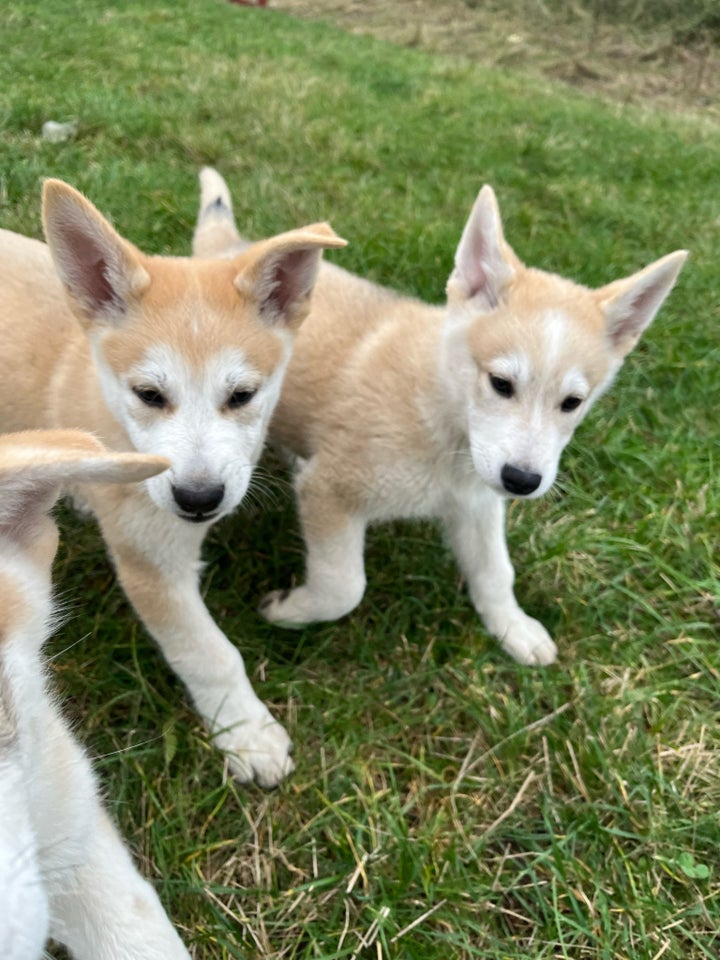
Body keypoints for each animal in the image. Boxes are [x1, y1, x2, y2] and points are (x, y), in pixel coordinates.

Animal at [0, 180, 346, 788]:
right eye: (149, 394)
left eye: (243, 395)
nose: (198, 499)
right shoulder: (152, 564)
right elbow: (208, 653)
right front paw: (246, 734)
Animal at [195, 167, 688, 668]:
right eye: (501, 383)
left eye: (572, 403)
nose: (522, 481)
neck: (439, 416)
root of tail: (228, 249)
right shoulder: (332, 491)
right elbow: (343, 587)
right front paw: (289, 612)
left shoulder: (477, 502)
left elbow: (496, 571)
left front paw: (513, 627)